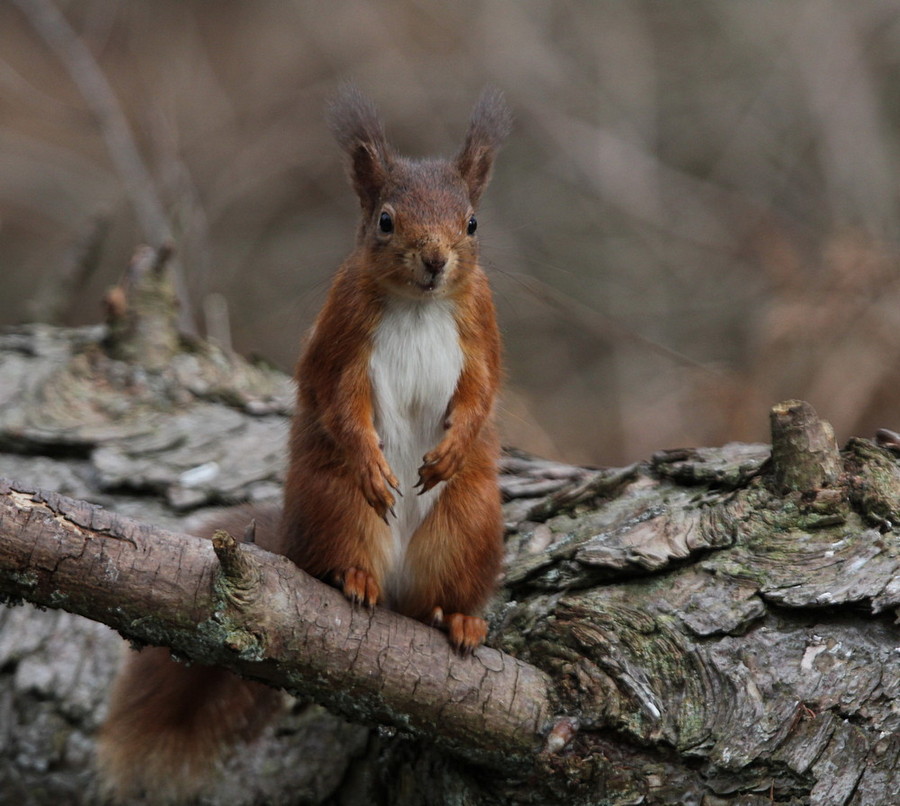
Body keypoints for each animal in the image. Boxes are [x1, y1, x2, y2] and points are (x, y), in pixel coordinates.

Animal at [97, 85, 510, 804]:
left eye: (472, 223)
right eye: (385, 220)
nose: (435, 262)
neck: (420, 305)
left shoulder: (479, 329)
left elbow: (481, 394)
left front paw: (452, 451)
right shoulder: (343, 336)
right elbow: (341, 403)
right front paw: (374, 466)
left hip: (471, 525)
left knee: (435, 598)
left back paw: (456, 619)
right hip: (334, 504)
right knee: (339, 557)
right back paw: (356, 580)